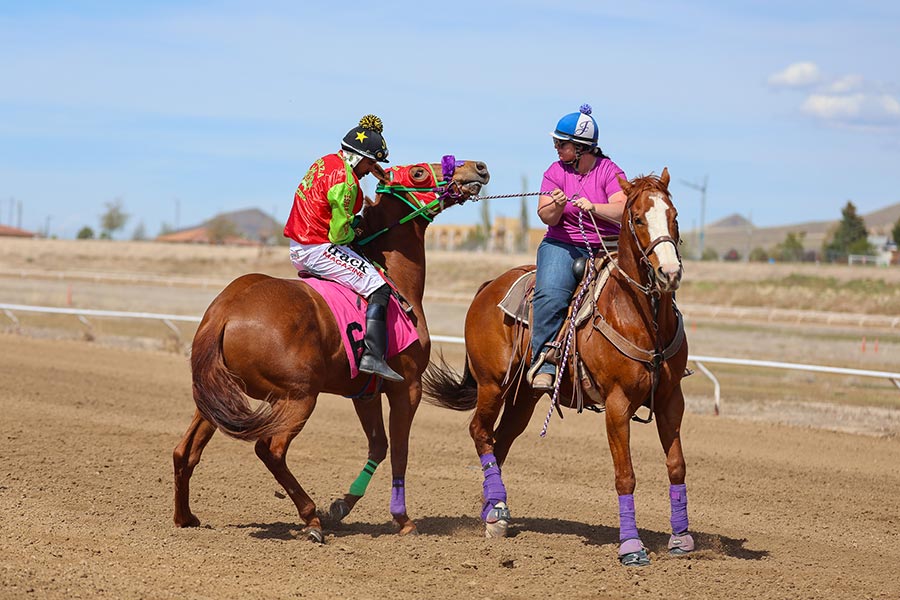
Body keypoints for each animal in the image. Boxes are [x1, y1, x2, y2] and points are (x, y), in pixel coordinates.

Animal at [173, 156, 490, 542]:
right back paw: (311, 519)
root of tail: (225, 311)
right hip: (298, 396)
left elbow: (379, 445)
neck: (396, 281)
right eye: (417, 173)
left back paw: (185, 516)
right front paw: (403, 519)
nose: (478, 167)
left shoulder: (365, 391)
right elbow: (400, 450)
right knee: (270, 449)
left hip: (218, 398)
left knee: (184, 451)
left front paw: (342, 505)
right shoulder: (406, 387)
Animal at [422, 168, 693, 566]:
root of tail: (488, 287)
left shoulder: (672, 399)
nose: (669, 273)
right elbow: (625, 475)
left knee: (500, 441)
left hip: (525, 396)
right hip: (492, 384)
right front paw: (631, 547)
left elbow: (676, 465)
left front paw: (681, 539)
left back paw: (494, 512)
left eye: (674, 216)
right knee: (480, 432)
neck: (636, 315)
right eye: (639, 218)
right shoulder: (617, 404)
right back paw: (496, 510)